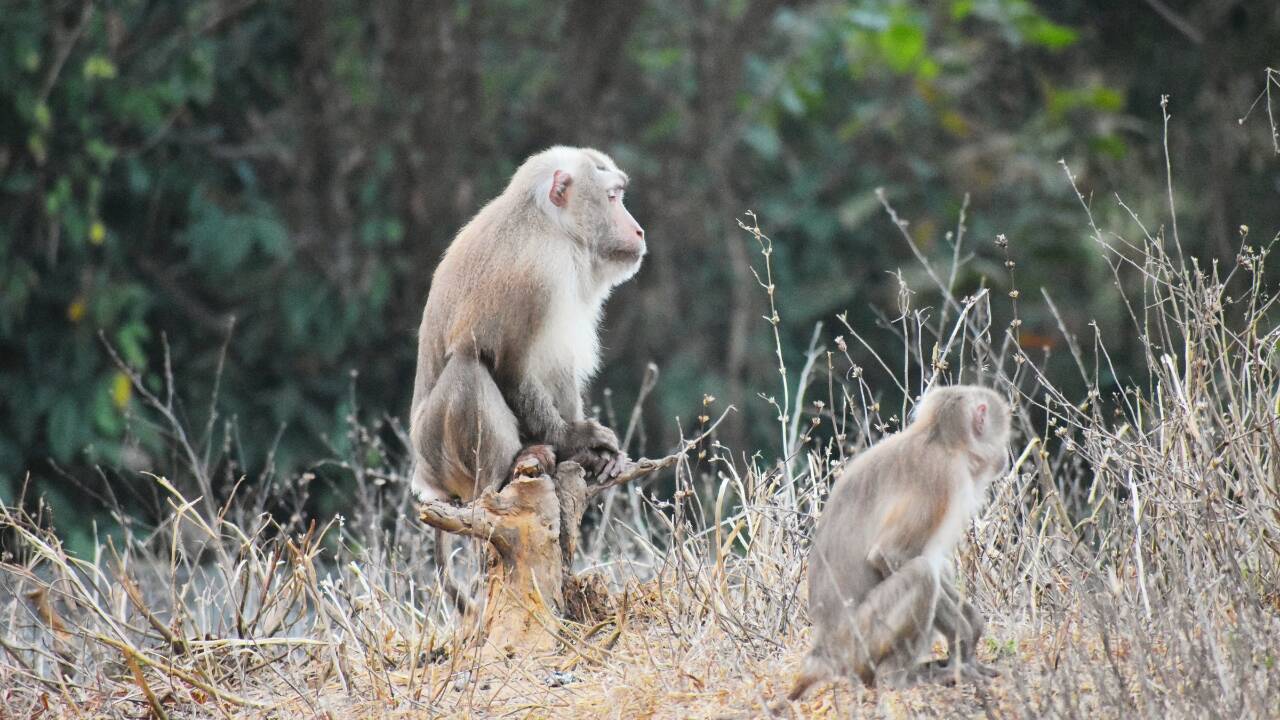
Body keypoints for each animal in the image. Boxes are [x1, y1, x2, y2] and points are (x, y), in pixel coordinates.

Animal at [408, 147, 645, 594]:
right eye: (612, 197)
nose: (638, 230)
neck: (552, 227)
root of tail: (426, 479)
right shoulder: (536, 273)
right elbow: (508, 365)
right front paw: (577, 441)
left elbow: (557, 362)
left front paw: (589, 453)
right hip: (437, 450)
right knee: (468, 368)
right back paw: (509, 470)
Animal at [787, 385, 1011, 701]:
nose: (1003, 456)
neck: (939, 438)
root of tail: (824, 649)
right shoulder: (940, 477)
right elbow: (891, 555)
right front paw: (963, 638)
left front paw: (973, 625)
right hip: (860, 643)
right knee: (921, 575)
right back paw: (896, 679)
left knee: (932, 567)